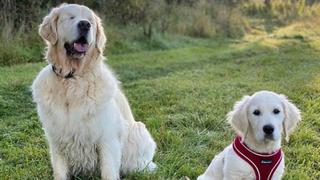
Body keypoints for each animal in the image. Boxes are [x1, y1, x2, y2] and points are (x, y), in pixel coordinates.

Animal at [32, 3, 156, 179]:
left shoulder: (107, 137)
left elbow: (108, 171)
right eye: (70, 17)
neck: (72, 78)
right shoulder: (56, 139)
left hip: (139, 131)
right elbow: (60, 171)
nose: (85, 25)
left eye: (91, 21)